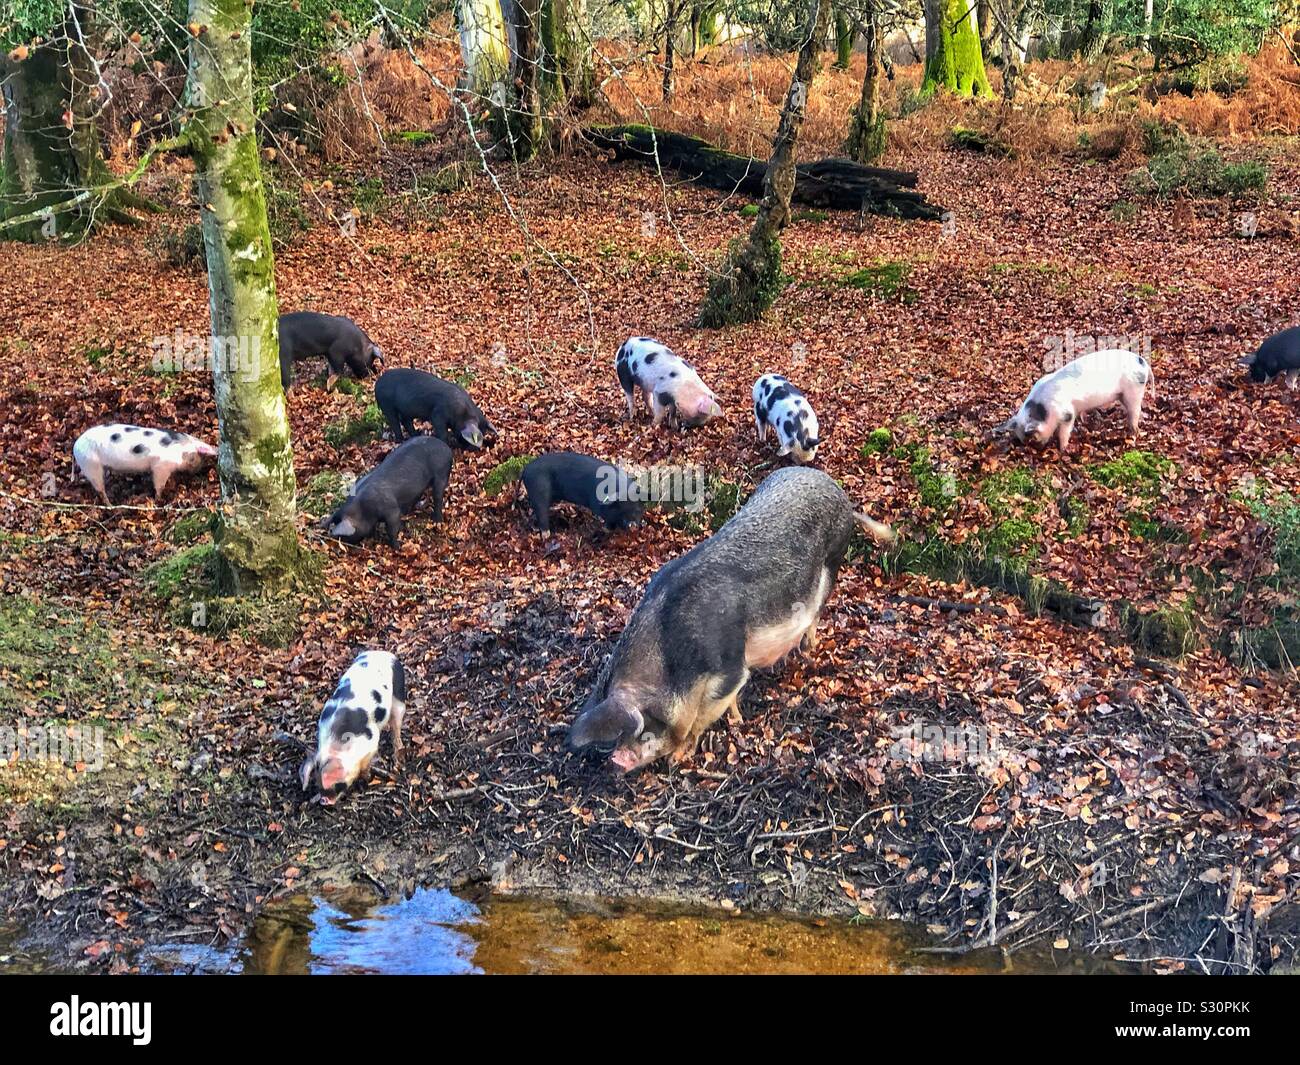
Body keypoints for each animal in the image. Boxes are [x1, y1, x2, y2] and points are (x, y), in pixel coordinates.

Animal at [569, 468, 894, 775]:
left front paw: (678, 758)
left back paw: (807, 649)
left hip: (833, 561)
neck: (673, 657)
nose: (615, 760)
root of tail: (840, 494)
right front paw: (737, 719)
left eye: (647, 723)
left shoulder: (729, 666)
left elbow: (704, 714)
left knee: (817, 611)